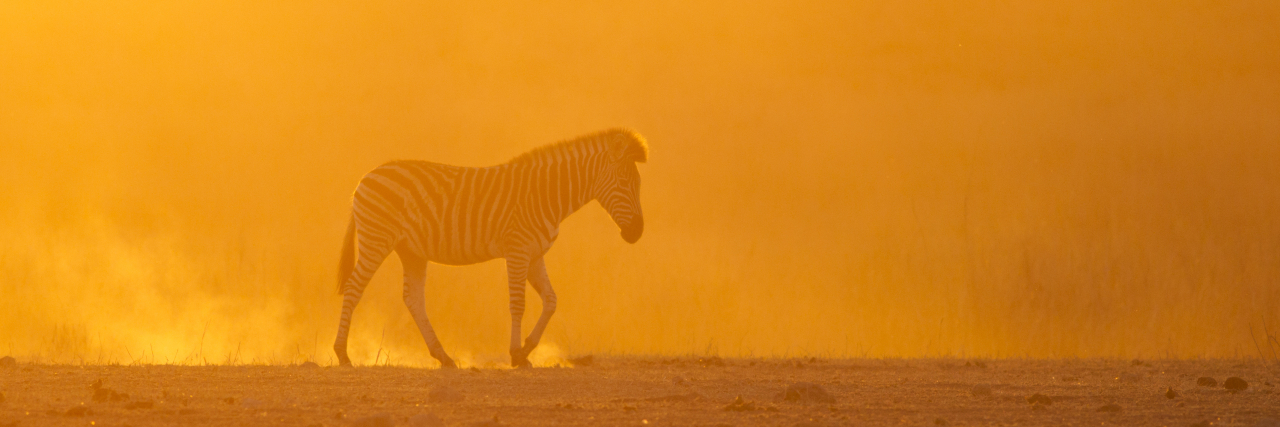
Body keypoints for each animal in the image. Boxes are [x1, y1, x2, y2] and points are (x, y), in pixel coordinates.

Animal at [333, 128, 647, 368]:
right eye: (624, 182)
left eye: (638, 184)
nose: (637, 233)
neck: (547, 194)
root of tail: (364, 178)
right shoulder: (518, 250)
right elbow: (518, 303)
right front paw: (516, 354)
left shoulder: (535, 254)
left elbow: (551, 300)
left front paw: (527, 348)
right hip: (377, 241)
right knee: (353, 288)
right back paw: (342, 354)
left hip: (411, 251)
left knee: (413, 299)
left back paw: (443, 356)